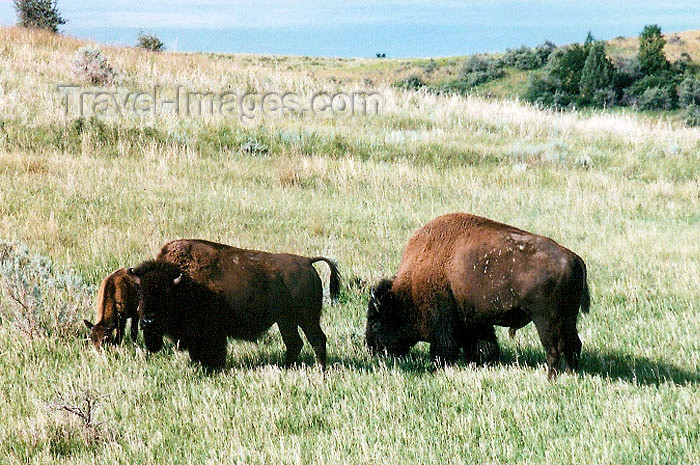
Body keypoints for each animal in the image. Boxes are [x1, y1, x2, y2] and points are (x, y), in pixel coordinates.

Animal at [129, 239, 342, 370]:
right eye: (140, 292)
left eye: (165, 293)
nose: (147, 321)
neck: (185, 281)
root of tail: (307, 262)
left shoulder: (212, 334)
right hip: (286, 321)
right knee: (294, 343)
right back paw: (286, 367)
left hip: (307, 318)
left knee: (317, 340)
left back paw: (321, 371)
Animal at [366, 212, 592, 378]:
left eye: (376, 322)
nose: (371, 348)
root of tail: (574, 258)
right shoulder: (476, 321)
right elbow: (484, 346)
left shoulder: (444, 323)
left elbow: (444, 349)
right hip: (568, 318)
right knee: (573, 344)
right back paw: (570, 373)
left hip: (545, 319)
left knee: (554, 347)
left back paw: (551, 377)